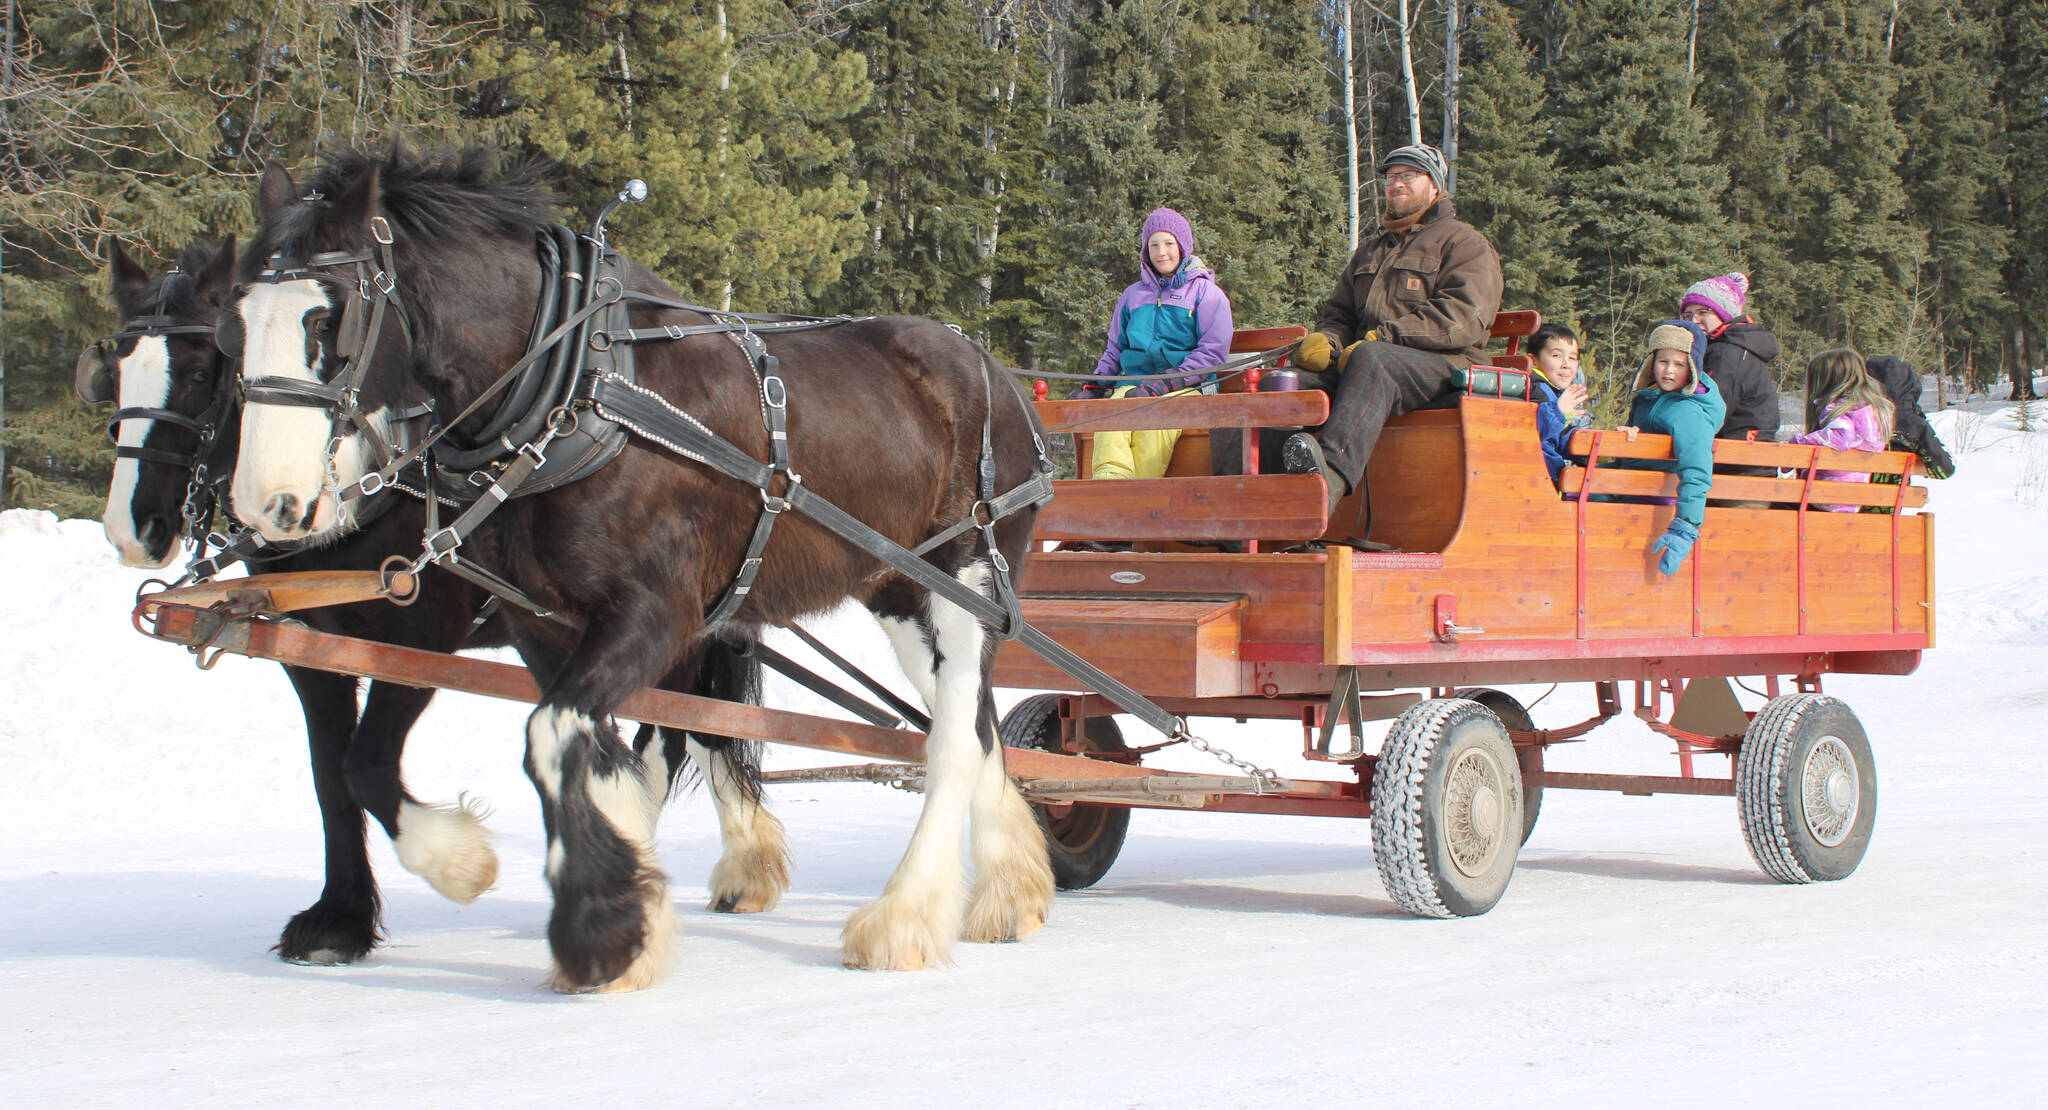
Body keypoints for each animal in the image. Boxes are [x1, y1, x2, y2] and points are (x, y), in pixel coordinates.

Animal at [79, 239, 786, 970]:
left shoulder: (421, 632)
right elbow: (330, 776)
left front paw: (459, 863)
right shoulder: (311, 650)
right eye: (115, 373)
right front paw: (339, 919)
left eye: (199, 370)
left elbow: (366, 765)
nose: (133, 529)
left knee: (687, 733)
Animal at [228, 147, 1056, 991]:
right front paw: (630, 907)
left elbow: (552, 736)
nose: (268, 506)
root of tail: (997, 372)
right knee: (973, 719)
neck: (579, 393)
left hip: (968, 576)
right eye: (238, 324)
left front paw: (591, 927)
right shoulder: (541, 623)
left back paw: (905, 915)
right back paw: (1010, 888)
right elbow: (599, 757)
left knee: (951, 736)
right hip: (899, 589)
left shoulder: (653, 613)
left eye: (326, 318)